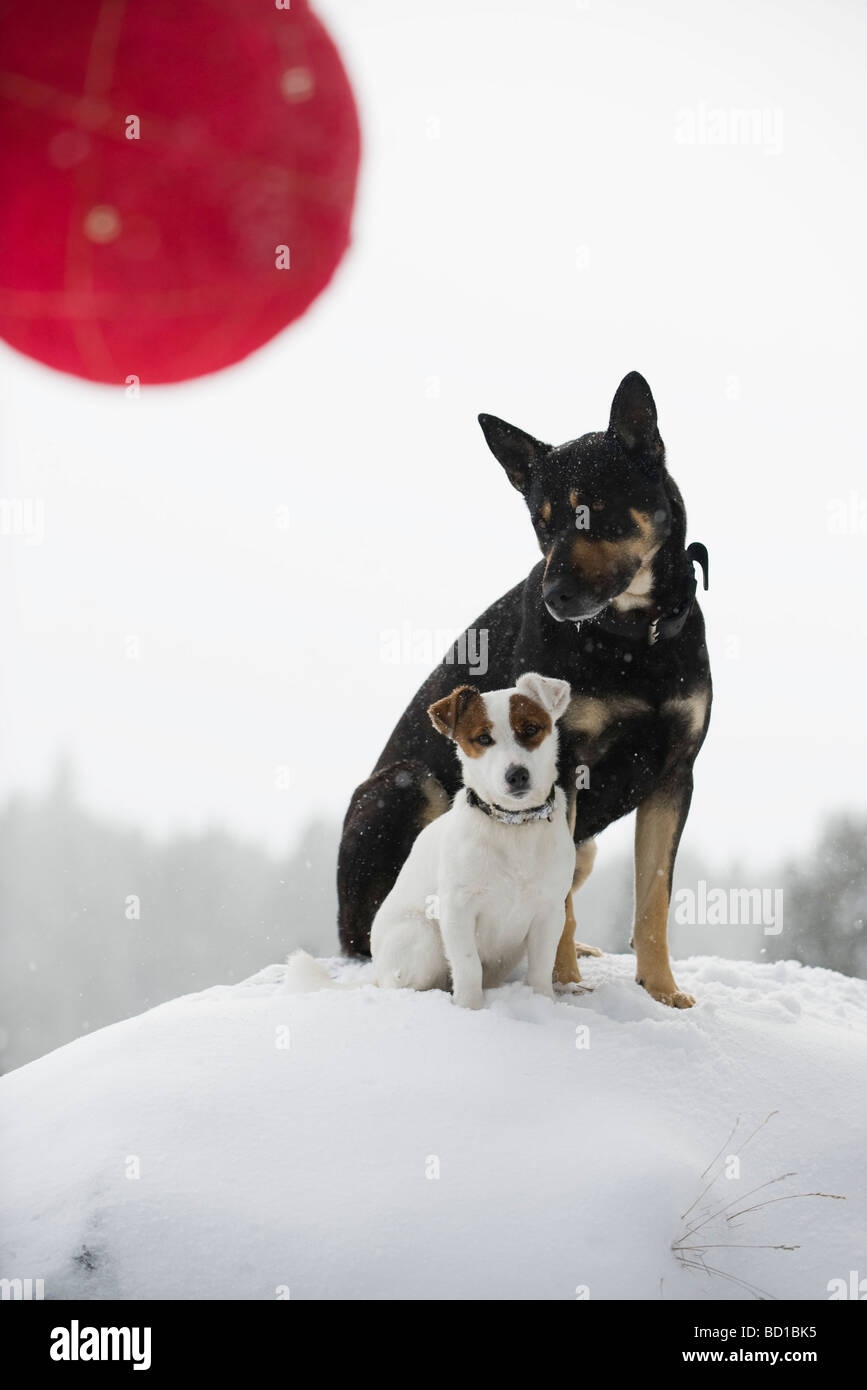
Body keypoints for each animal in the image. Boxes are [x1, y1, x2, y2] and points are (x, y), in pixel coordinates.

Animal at [287, 672, 578, 1011]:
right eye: (483, 739)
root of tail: (378, 972)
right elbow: (468, 965)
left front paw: (544, 1003)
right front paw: (470, 1008)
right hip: (423, 938)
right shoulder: (457, 908)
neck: (513, 826)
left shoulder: (549, 912)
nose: (517, 775)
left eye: (531, 729)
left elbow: (542, 967)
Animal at [339, 375, 711, 1006]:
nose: (555, 596)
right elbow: (557, 907)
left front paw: (661, 991)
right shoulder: (566, 767)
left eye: (595, 511)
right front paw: (563, 983)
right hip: (403, 788)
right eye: (543, 523)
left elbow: (653, 900)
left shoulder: (675, 774)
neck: (634, 636)